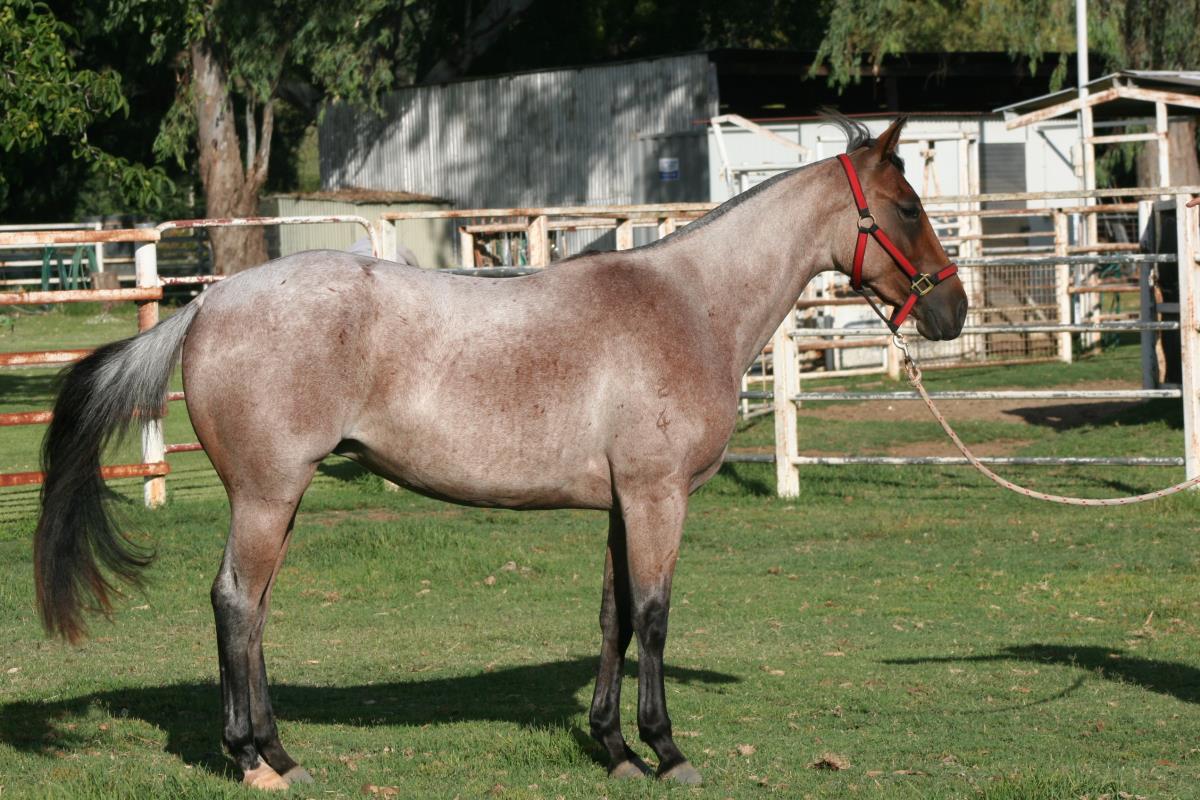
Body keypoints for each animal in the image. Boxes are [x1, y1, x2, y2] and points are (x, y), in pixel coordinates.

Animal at [33, 116, 966, 789]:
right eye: (909, 209)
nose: (952, 310)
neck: (689, 305)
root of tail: (208, 304)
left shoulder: (623, 504)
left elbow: (614, 618)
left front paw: (614, 749)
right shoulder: (658, 498)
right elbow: (655, 618)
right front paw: (666, 750)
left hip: (279, 498)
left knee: (253, 610)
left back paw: (273, 750)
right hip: (266, 496)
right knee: (235, 603)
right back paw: (258, 758)